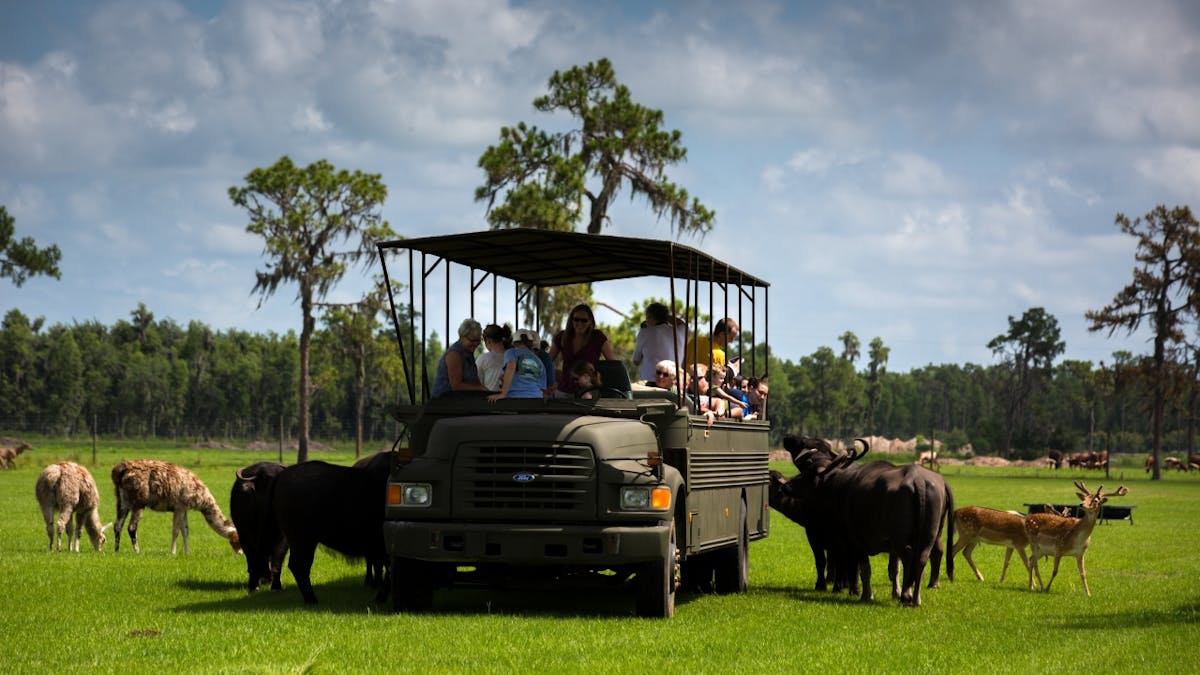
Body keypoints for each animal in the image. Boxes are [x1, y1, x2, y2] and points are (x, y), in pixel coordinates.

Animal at [229, 458, 288, 590]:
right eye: (266, 479)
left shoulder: (283, 539)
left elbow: (276, 562)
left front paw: (276, 585)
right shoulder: (246, 535)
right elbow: (253, 558)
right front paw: (254, 584)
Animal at [777, 432, 955, 607]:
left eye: (808, 472)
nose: (786, 485)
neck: (839, 485)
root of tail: (917, 480)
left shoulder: (852, 540)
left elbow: (862, 568)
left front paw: (865, 594)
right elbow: (889, 569)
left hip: (899, 538)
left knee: (909, 556)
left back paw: (906, 597)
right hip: (930, 535)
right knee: (922, 558)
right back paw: (916, 598)